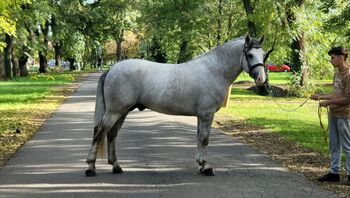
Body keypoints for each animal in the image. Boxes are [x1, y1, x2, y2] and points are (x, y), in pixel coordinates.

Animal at [85, 35, 266, 176]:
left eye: (263, 55)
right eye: (250, 55)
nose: (261, 79)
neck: (214, 70)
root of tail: (112, 69)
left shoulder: (201, 116)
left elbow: (199, 138)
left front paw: (201, 164)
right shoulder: (207, 114)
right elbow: (204, 139)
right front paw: (206, 167)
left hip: (122, 111)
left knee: (111, 134)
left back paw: (116, 166)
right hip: (115, 111)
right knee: (100, 132)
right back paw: (90, 167)